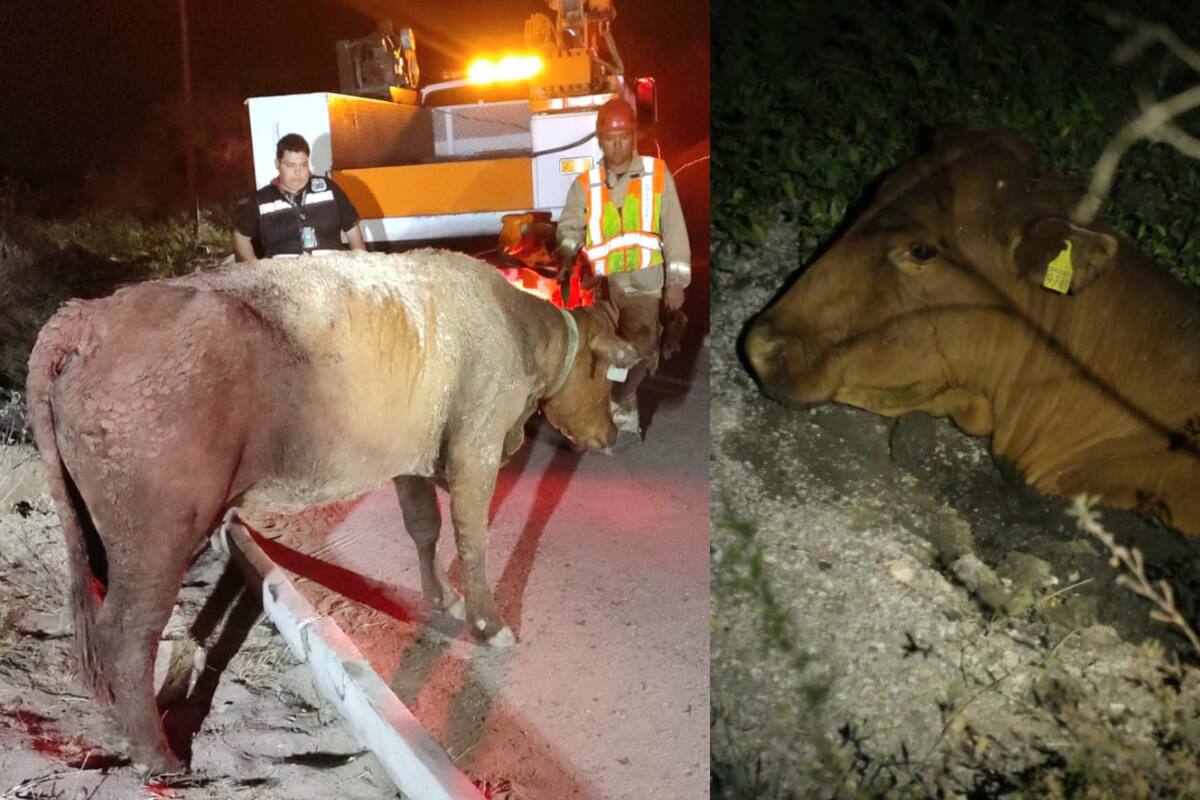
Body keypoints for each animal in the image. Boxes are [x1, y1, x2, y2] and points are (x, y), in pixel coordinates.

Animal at [26, 249, 642, 773]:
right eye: (609, 378)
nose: (614, 437)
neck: (516, 329)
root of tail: (89, 315)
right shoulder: (477, 444)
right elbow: (472, 536)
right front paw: (487, 625)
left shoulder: (409, 453)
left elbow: (423, 526)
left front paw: (440, 597)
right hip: (159, 531)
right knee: (128, 632)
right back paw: (158, 755)